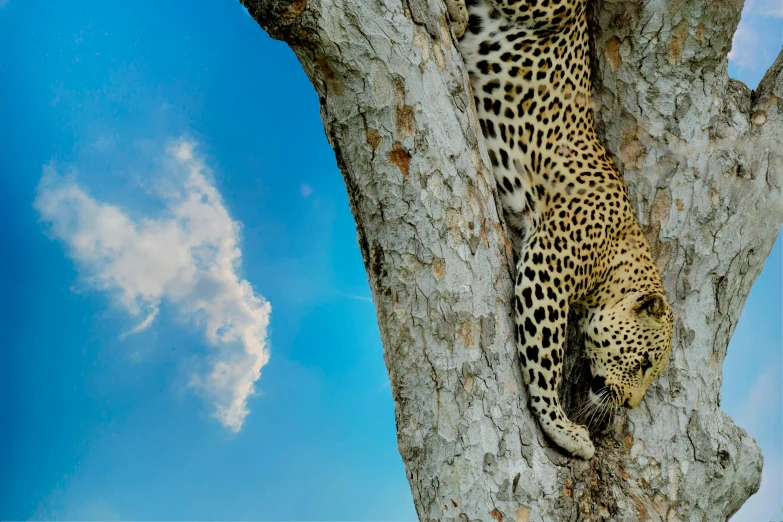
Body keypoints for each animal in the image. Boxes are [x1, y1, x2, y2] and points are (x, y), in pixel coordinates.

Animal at [444, 0, 676, 458]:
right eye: (643, 363)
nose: (631, 403)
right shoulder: (548, 265)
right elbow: (544, 356)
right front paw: (561, 427)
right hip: (552, 9)